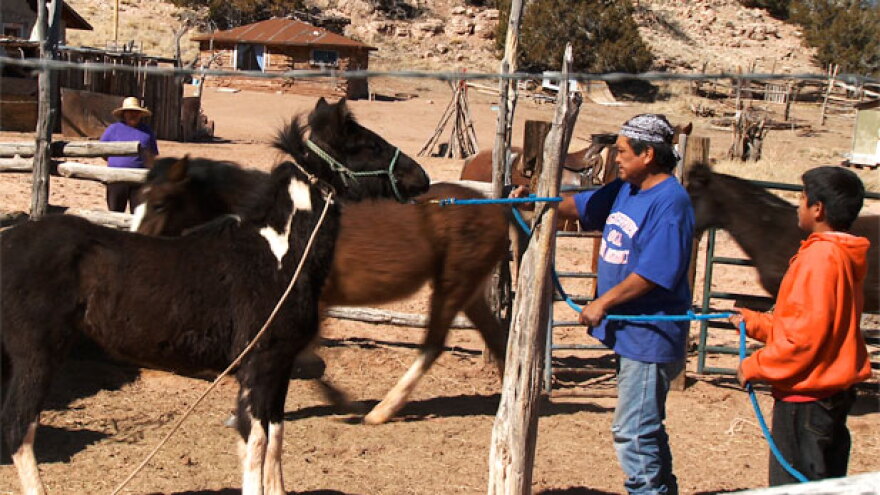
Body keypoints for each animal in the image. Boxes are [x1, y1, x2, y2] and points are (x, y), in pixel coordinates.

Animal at [0, 97, 430, 495]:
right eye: (366, 144)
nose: (420, 177)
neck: (277, 254)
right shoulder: (258, 364)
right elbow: (256, 441)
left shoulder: (279, 367)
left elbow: (275, 436)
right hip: (37, 355)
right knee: (19, 429)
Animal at [135, 156, 515, 425]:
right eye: (136, 201)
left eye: (161, 203)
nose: (138, 242)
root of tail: (497, 210)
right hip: (468, 291)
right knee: (497, 339)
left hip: (452, 285)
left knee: (433, 345)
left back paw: (380, 412)